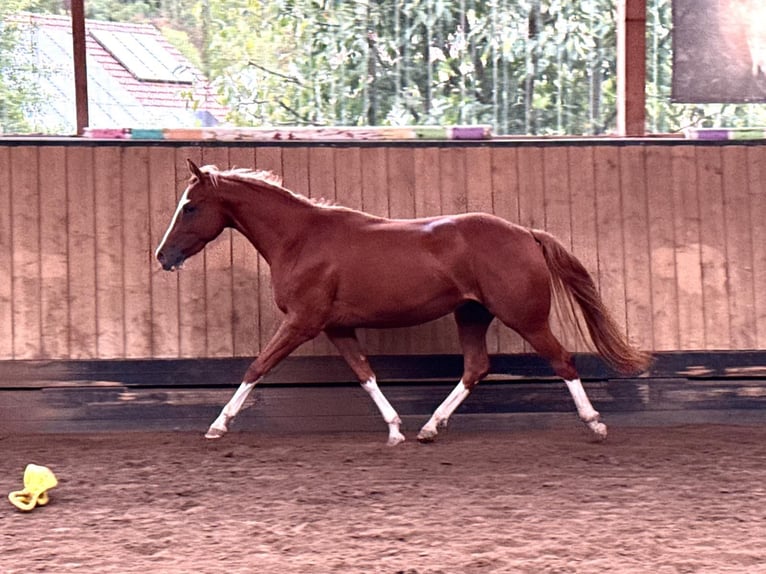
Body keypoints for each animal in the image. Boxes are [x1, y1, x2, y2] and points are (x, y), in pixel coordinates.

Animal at [155, 159, 651, 445]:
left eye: (191, 207)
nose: (162, 256)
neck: (300, 239)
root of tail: (526, 234)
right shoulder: (337, 327)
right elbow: (365, 374)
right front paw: (395, 429)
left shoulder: (302, 322)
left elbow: (256, 367)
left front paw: (218, 425)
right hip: (472, 314)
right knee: (476, 367)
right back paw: (430, 427)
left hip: (524, 318)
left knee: (563, 360)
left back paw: (595, 423)